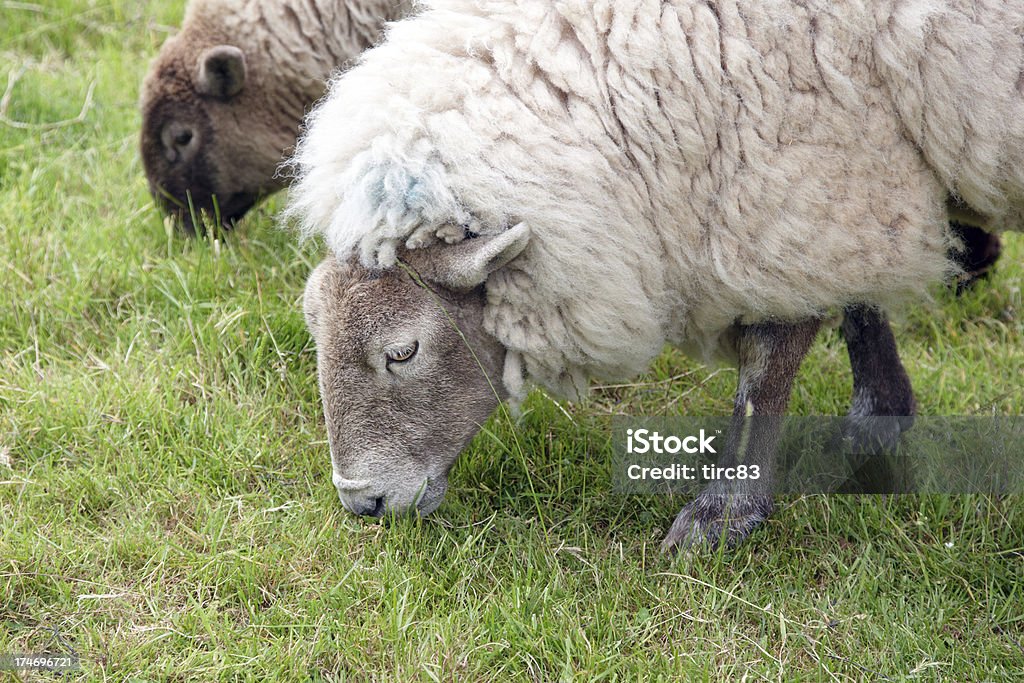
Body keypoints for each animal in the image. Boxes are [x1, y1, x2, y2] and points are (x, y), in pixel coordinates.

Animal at [286, 0, 1024, 548]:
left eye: (402, 350)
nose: (363, 503)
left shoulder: (797, 179)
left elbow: (769, 361)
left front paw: (724, 513)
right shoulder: (842, 186)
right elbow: (857, 300)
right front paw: (880, 416)